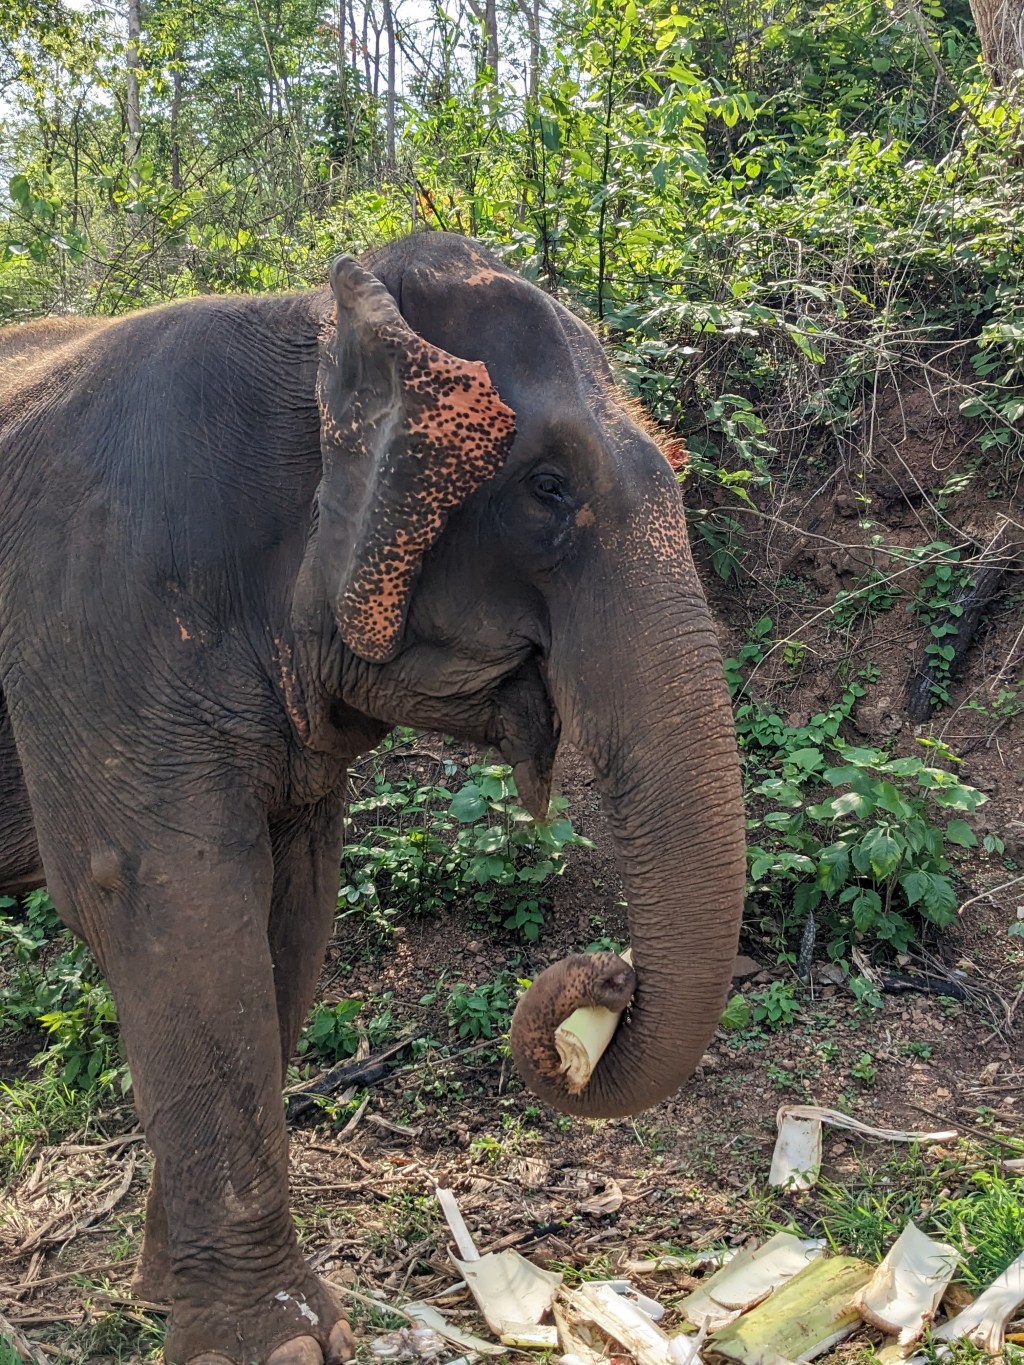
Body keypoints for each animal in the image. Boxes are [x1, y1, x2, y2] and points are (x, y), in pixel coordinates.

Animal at [0, 232, 745, 1365]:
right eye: (547, 487)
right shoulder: (91, 620)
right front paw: (275, 1345)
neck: (315, 323)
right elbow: (160, 901)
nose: (609, 974)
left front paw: (174, 1298)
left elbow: (292, 912)